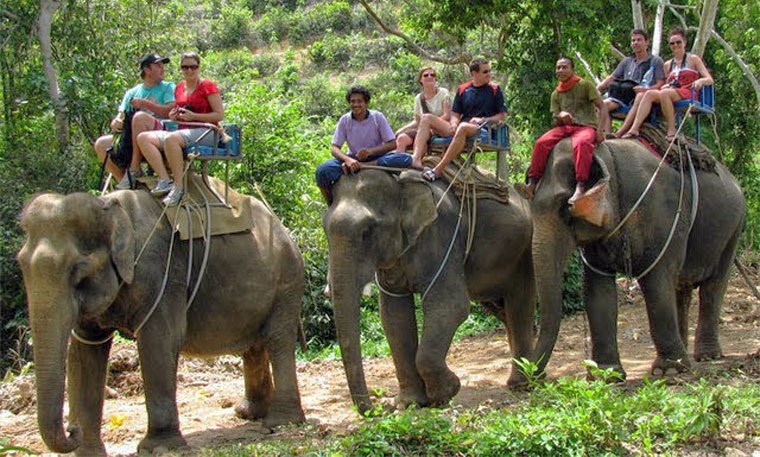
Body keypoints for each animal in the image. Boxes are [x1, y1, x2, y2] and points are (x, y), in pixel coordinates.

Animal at [16, 183, 306, 456]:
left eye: (79, 273)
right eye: (20, 265)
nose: (71, 429)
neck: (111, 209)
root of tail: (281, 226)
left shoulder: (163, 274)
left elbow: (160, 341)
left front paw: (159, 447)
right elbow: (85, 352)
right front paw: (88, 453)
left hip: (287, 280)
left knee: (278, 340)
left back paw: (281, 422)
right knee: (254, 346)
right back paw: (249, 413)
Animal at [326, 169, 536, 412]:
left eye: (367, 232)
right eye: (325, 231)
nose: (378, 408)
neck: (400, 185)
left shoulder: (443, 234)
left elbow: (451, 304)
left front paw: (445, 393)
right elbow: (394, 316)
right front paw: (408, 403)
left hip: (522, 254)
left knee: (519, 306)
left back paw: (522, 384)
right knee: (502, 310)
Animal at [528, 138, 744, 378]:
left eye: (565, 208)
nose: (533, 378)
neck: (608, 158)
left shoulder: (661, 217)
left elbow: (656, 283)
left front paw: (667, 371)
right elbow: (597, 291)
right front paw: (606, 375)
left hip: (733, 229)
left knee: (712, 287)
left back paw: (706, 356)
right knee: (681, 289)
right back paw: (686, 353)